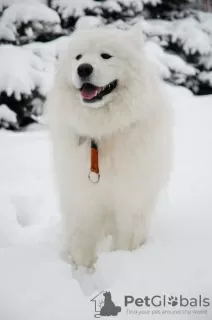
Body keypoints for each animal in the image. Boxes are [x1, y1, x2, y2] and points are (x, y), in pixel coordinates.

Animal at [46, 24, 172, 268]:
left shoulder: (129, 201)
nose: (83, 69)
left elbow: (125, 241)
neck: (102, 132)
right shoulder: (82, 199)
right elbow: (82, 247)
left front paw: (121, 262)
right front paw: (83, 272)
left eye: (106, 55)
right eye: (78, 57)